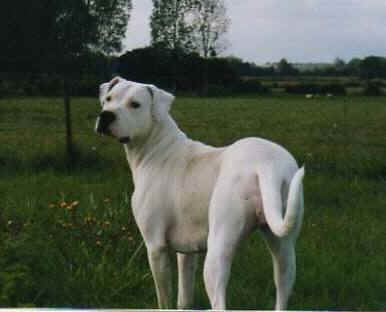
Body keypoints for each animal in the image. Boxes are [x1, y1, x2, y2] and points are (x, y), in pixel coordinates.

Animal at [94, 77, 304, 310]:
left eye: (135, 104)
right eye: (108, 99)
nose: (105, 115)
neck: (156, 146)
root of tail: (266, 164)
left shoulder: (156, 247)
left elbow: (164, 299)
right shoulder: (187, 253)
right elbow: (184, 298)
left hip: (217, 252)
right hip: (284, 253)